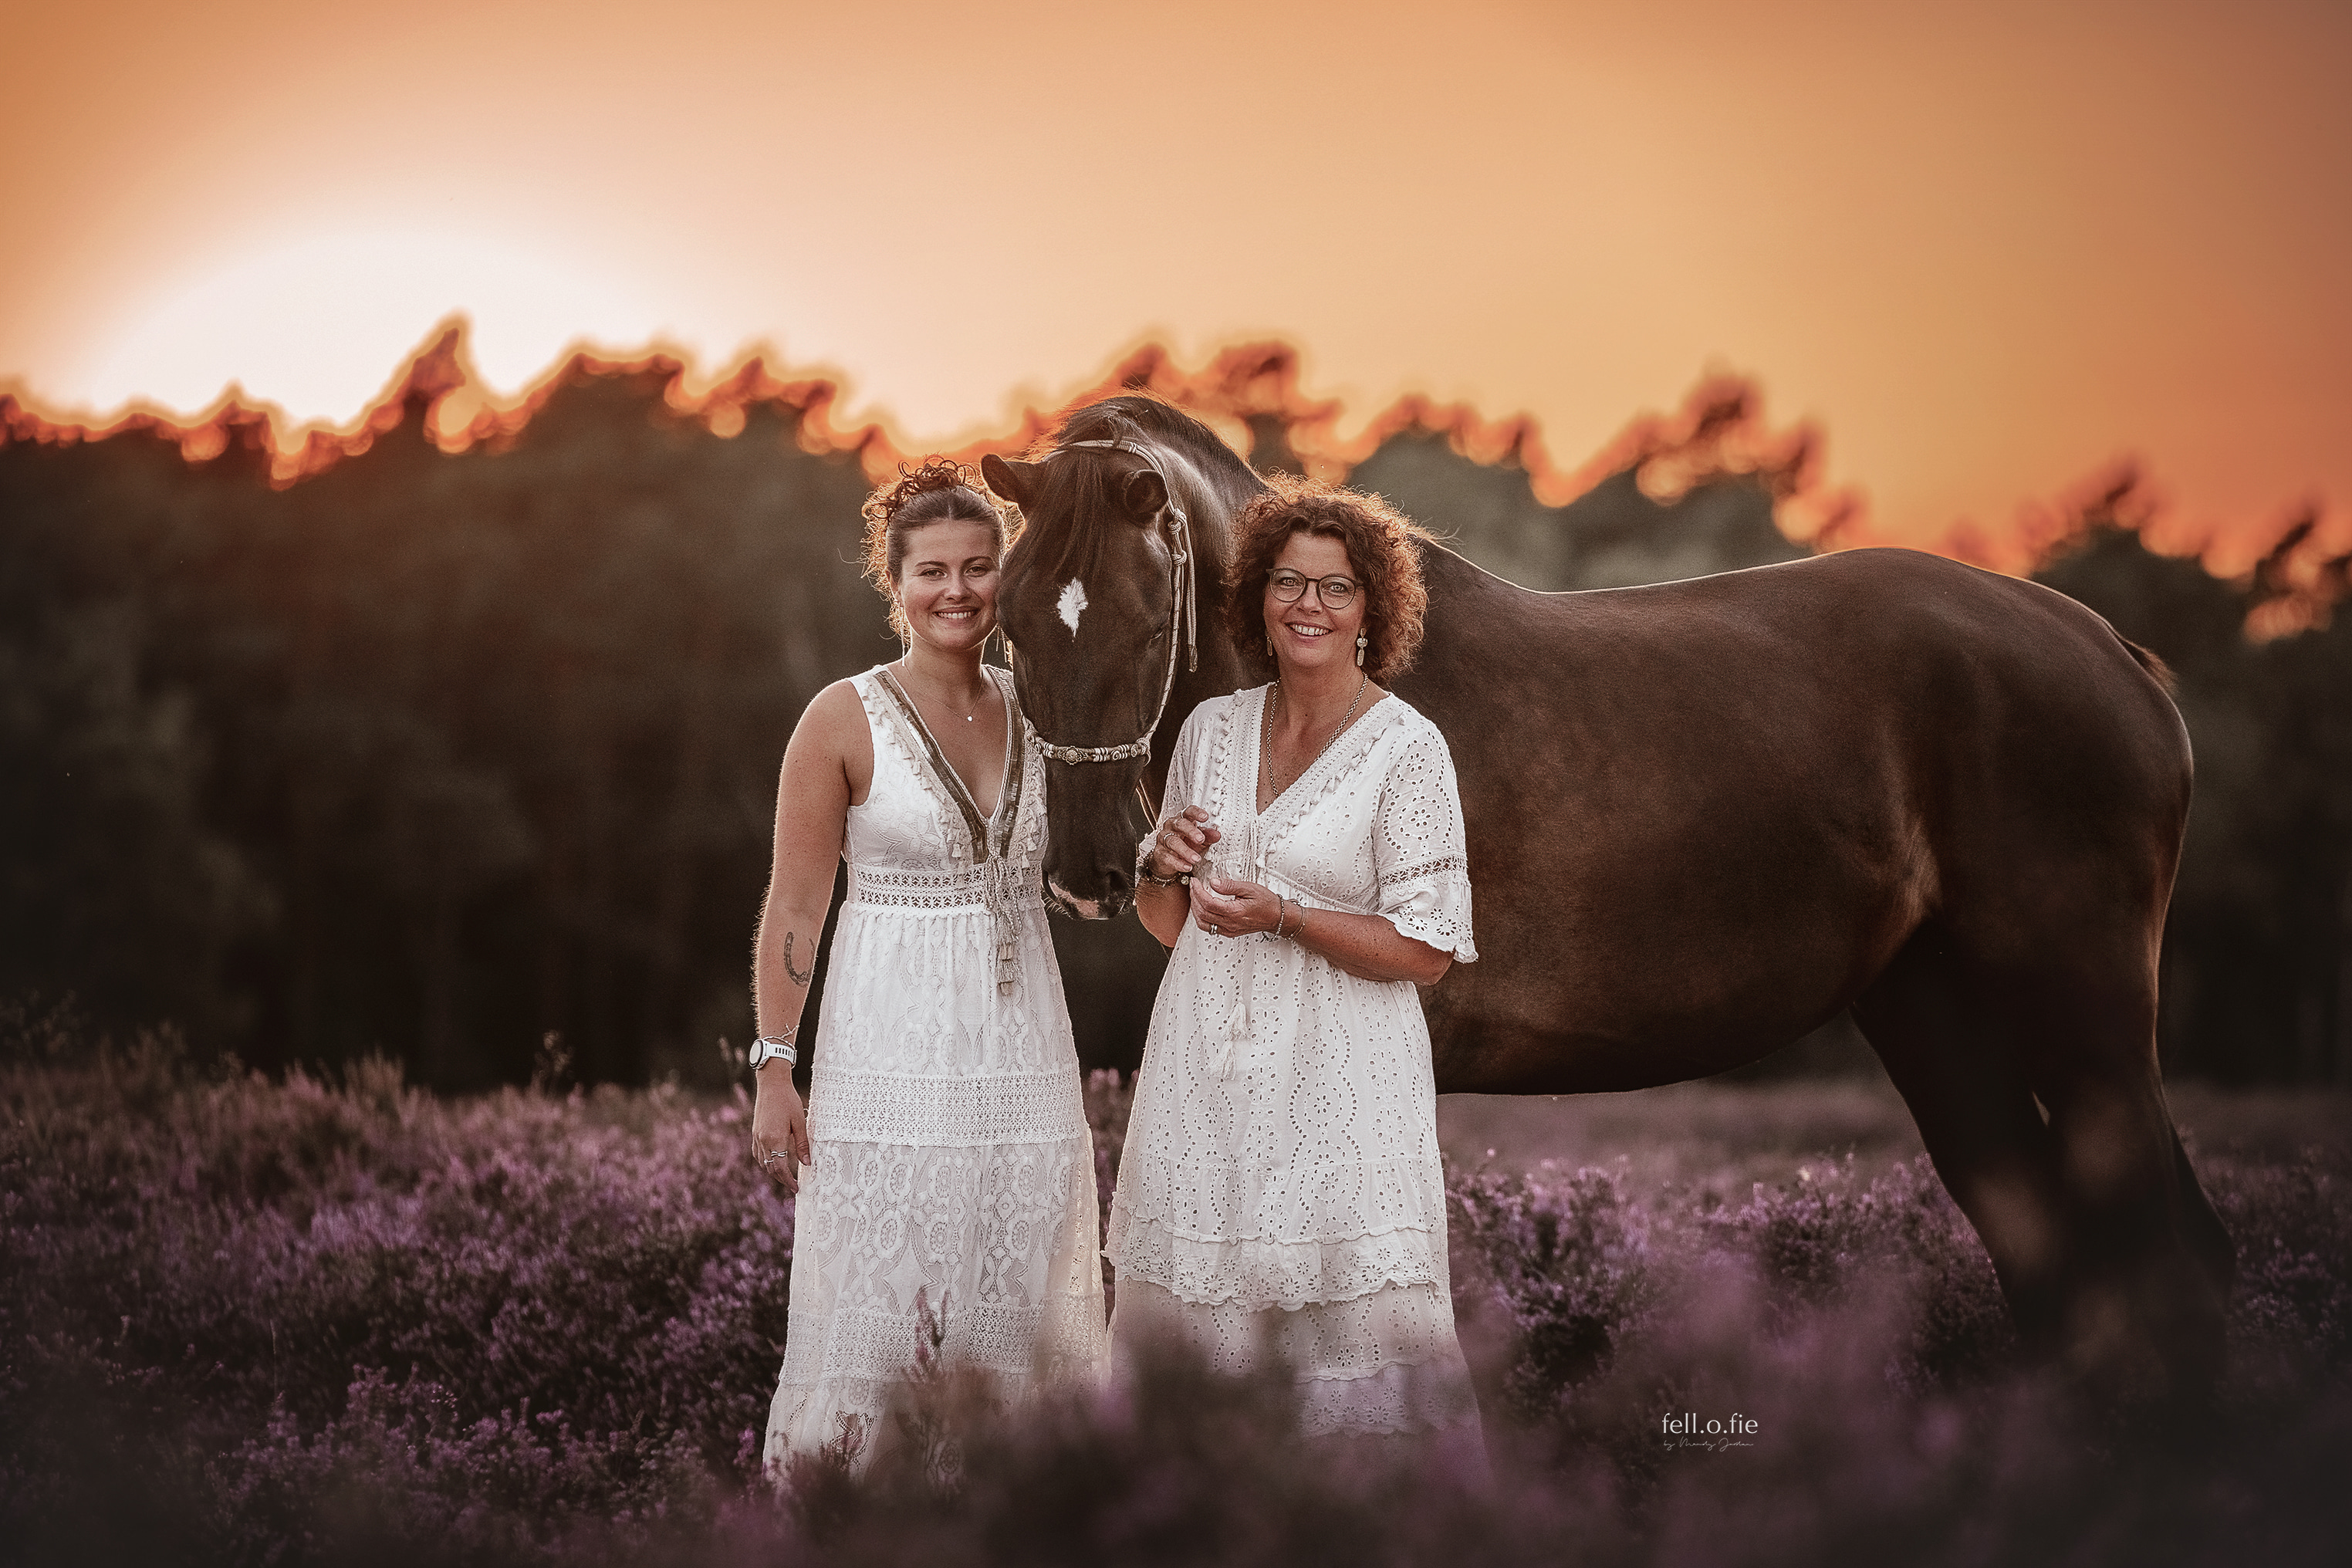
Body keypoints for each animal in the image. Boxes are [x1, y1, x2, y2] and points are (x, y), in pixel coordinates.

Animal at [983, 395, 2235, 1401]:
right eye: (1011, 619)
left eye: (1151, 620)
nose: (1090, 871)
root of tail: (2109, 649)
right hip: (1935, 1019)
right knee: (2048, 1244)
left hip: (2088, 1030)